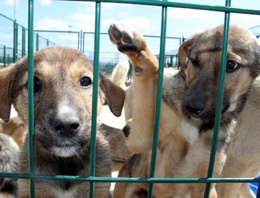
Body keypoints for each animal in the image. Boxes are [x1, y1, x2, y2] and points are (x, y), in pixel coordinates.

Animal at [107, 23, 260, 198]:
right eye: (194, 61)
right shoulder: (141, 141)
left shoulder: (208, 185)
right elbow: (154, 69)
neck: (197, 128)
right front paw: (136, 46)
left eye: (231, 65)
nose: (192, 107)